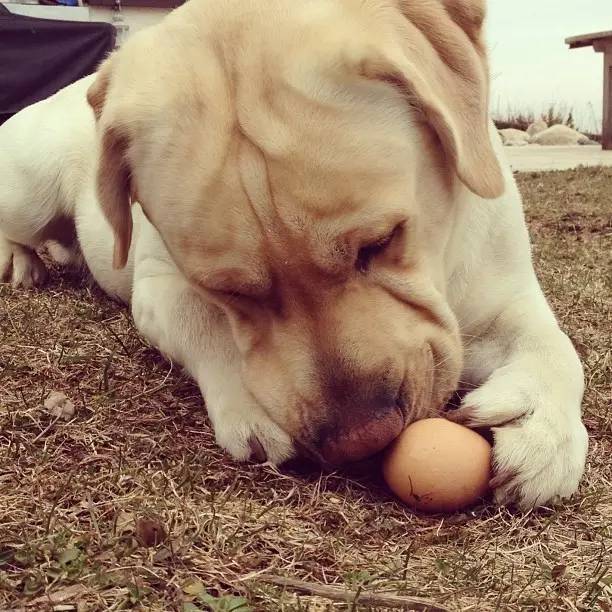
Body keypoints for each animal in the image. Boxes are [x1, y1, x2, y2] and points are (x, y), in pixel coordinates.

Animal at [1, 0, 588, 506]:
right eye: (229, 291)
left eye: (381, 242)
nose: (363, 440)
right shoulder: (158, 284)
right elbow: (201, 319)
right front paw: (250, 399)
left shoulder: (502, 291)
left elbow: (556, 346)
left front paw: (539, 426)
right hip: (30, 190)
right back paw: (21, 261)